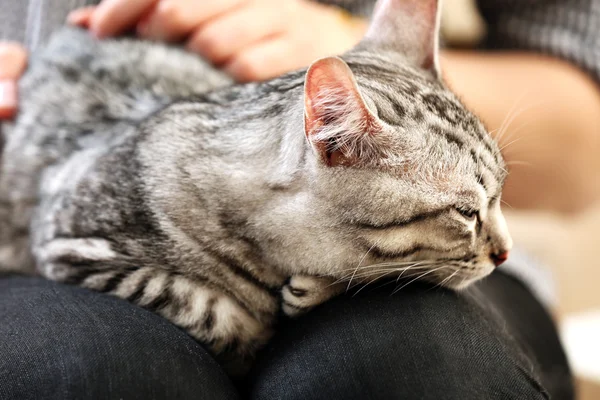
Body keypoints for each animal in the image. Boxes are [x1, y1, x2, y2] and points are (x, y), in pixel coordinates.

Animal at [0, 0, 510, 376]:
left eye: (501, 194)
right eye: (466, 212)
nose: (504, 254)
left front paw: (315, 289)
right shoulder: (72, 241)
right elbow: (211, 312)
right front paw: (257, 329)